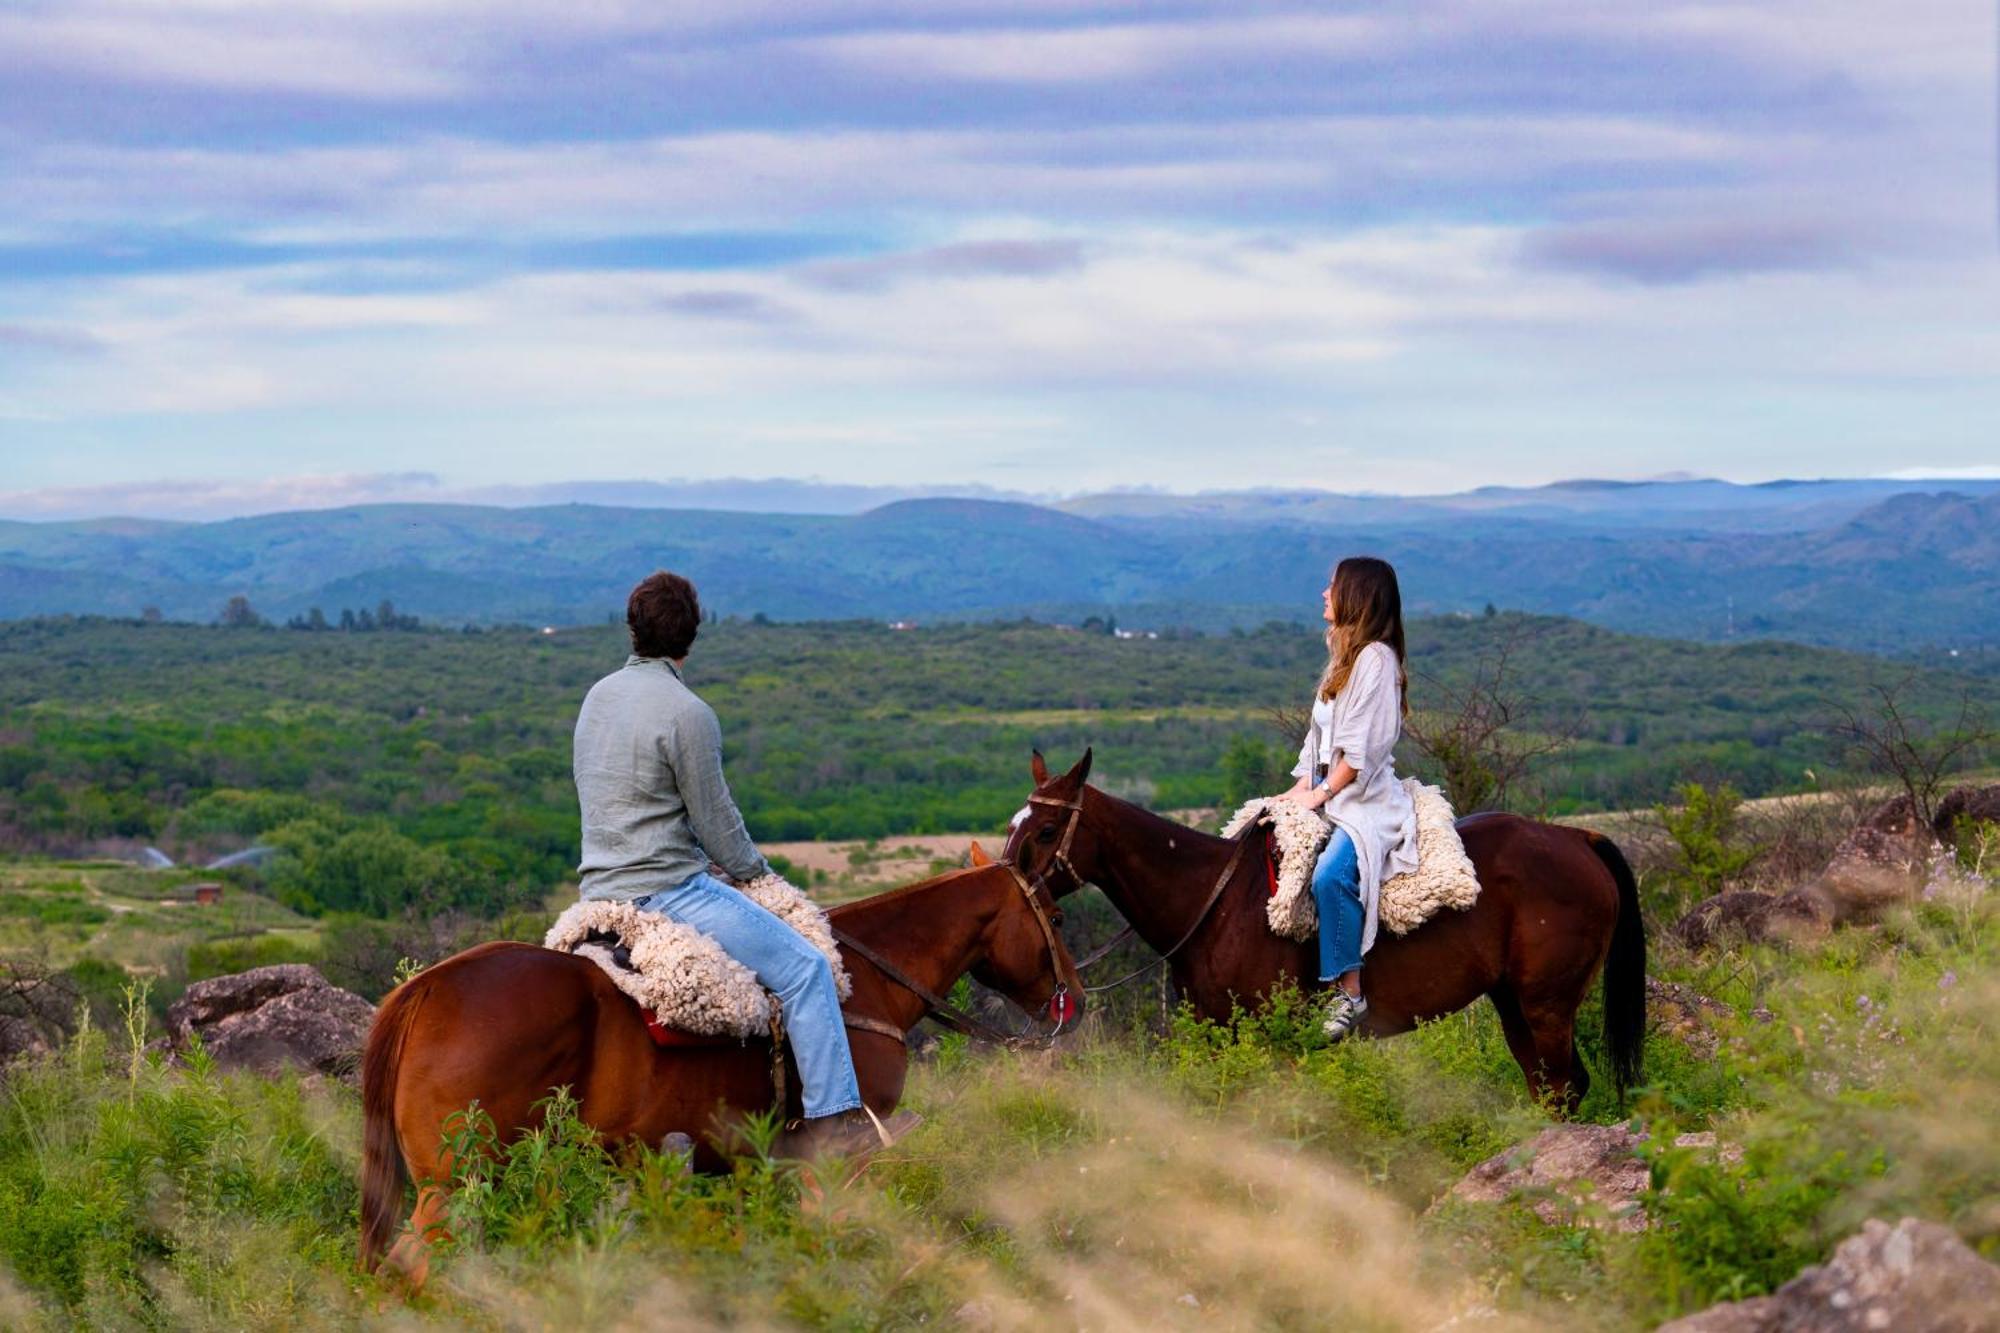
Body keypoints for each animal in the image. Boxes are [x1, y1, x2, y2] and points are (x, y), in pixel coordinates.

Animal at [358, 860, 1080, 1280]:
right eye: (1057, 914)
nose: (1071, 998)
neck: (866, 981)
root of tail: (426, 987)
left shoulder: (742, 1163)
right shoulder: (842, 1157)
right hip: (454, 1182)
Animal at [1000, 748, 1640, 1112]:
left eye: (1048, 828)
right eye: (1014, 823)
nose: (1005, 885)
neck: (1216, 904)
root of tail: (1577, 838)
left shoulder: (1276, 1041)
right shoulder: (1217, 1038)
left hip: (1547, 1005)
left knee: (1564, 1088)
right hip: (1513, 1004)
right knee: (1549, 1089)